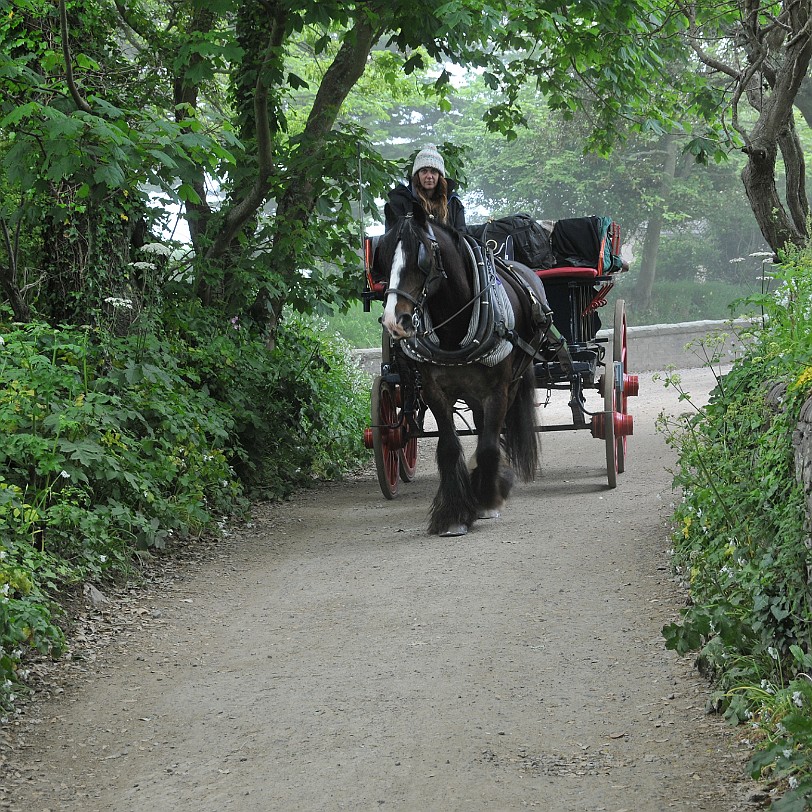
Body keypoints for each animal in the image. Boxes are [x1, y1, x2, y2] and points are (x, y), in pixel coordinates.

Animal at [372, 208, 552, 540]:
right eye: (384, 255)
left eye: (422, 256)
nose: (394, 321)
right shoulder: (433, 391)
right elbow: (449, 447)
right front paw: (453, 515)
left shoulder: (498, 389)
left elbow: (489, 445)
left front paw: (485, 499)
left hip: (511, 383)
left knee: (490, 432)